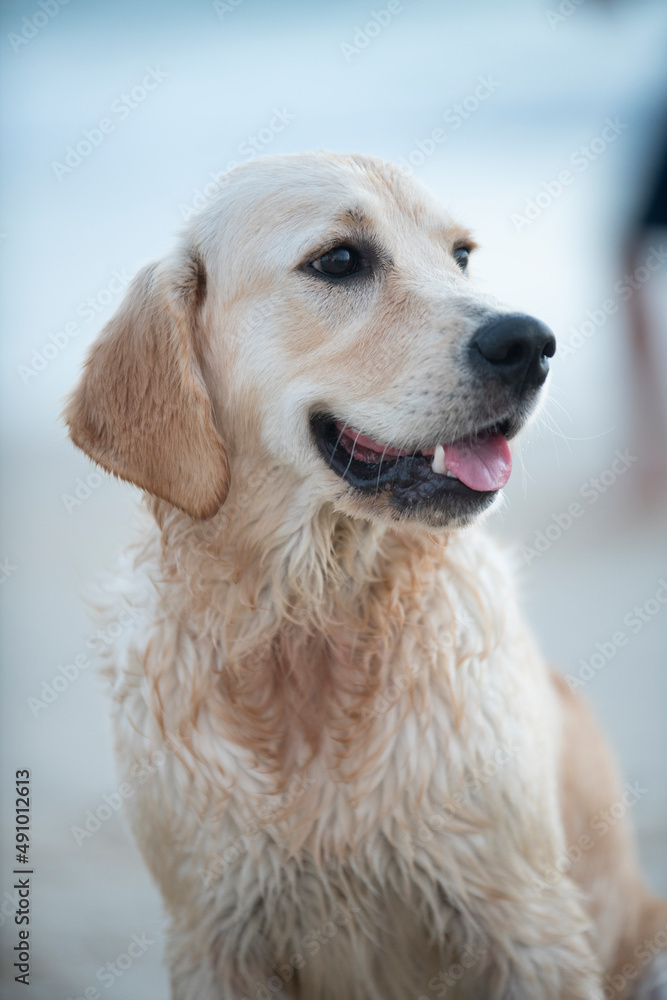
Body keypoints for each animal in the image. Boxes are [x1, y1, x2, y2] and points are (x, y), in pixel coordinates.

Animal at [64, 150, 667, 1000]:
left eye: (460, 255)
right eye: (339, 260)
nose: (531, 342)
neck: (312, 623)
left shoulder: (527, 922)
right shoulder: (213, 936)